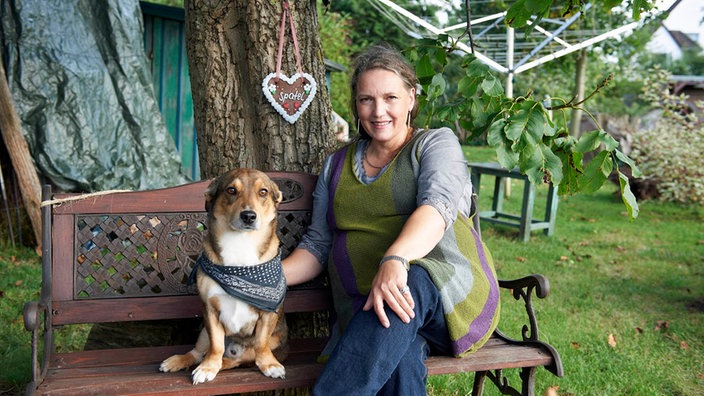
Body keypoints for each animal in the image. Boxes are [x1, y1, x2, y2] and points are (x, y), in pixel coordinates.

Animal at [160, 169, 288, 384]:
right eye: (231, 190)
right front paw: (208, 367)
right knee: (198, 353)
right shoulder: (210, 310)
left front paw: (270, 364)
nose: (248, 216)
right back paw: (180, 361)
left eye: (263, 192)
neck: (240, 244)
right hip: (203, 333)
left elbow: (261, 344)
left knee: (240, 359)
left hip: (270, 341)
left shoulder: (268, 314)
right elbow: (216, 346)